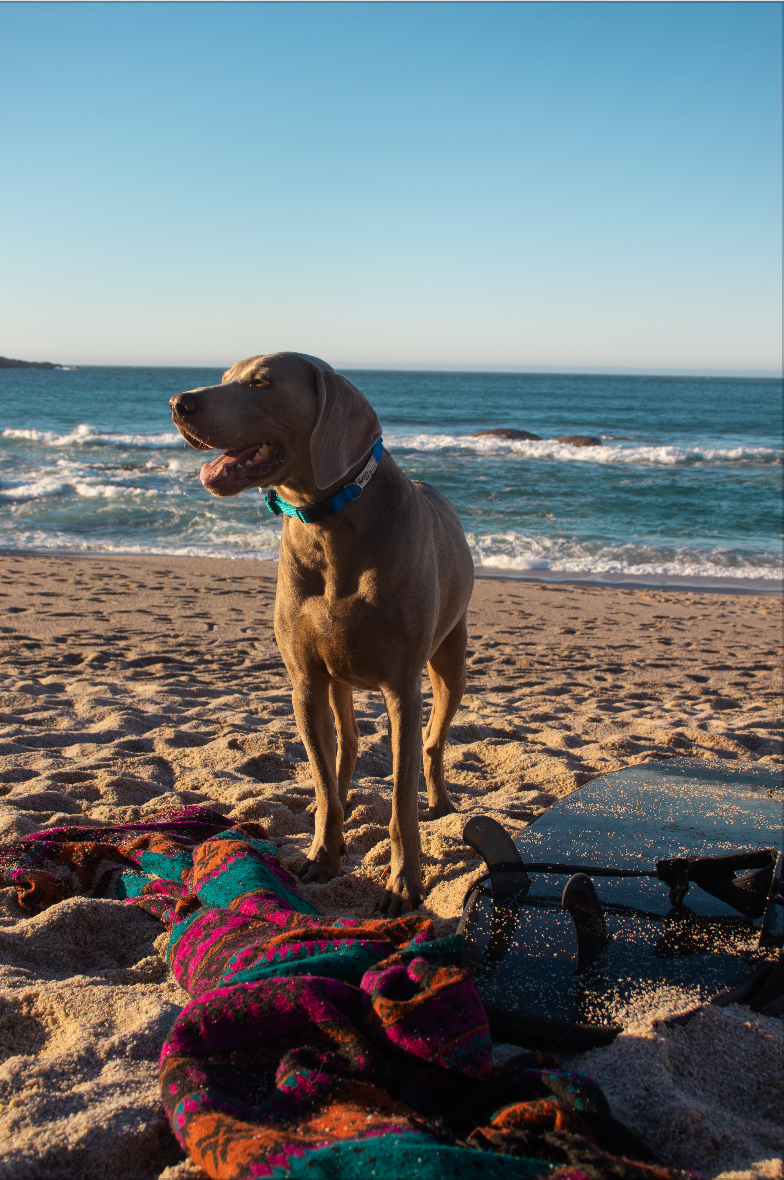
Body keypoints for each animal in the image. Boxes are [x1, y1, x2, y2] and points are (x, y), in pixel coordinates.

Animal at [170, 349, 472, 910]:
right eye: (225, 377)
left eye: (262, 382)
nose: (180, 402)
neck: (329, 524)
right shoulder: (307, 681)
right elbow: (321, 778)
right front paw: (323, 854)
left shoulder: (402, 686)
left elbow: (401, 798)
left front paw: (403, 881)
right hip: (337, 677)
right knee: (345, 749)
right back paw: (345, 795)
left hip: (449, 659)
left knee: (432, 741)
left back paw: (440, 802)